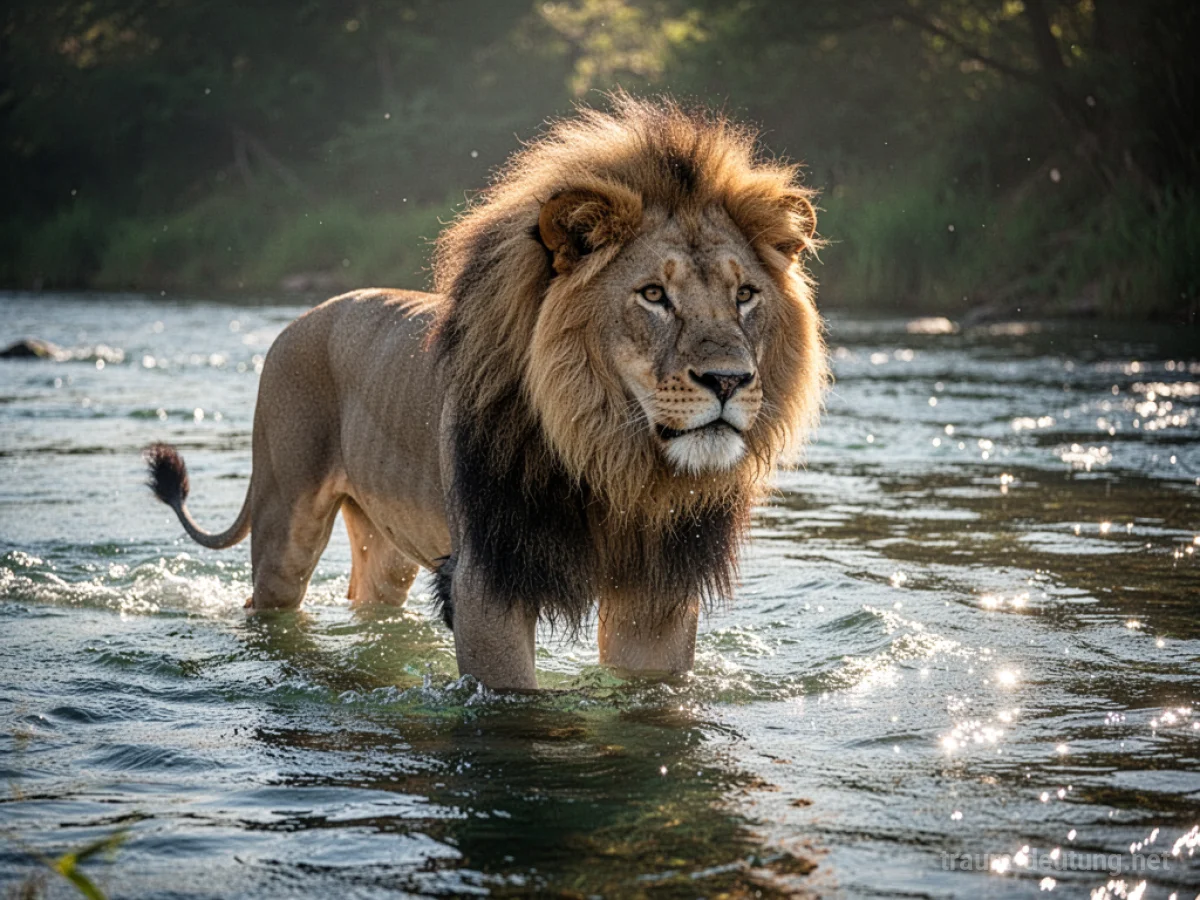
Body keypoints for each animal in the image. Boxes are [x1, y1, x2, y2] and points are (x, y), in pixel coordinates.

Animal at [145, 95, 827, 690]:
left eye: (745, 295)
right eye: (654, 295)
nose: (728, 380)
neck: (613, 462)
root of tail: (303, 317)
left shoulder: (657, 595)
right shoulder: (487, 579)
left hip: (387, 540)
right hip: (285, 520)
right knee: (271, 601)